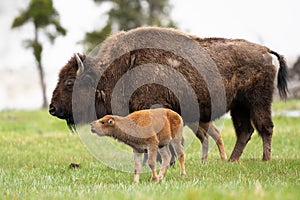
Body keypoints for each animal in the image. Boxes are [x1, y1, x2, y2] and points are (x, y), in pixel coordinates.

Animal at [49, 26, 288, 162]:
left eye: (70, 82)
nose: (52, 108)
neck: (118, 68)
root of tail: (265, 50)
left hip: (258, 102)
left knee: (265, 128)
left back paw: (265, 160)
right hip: (239, 106)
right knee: (245, 131)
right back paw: (232, 160)